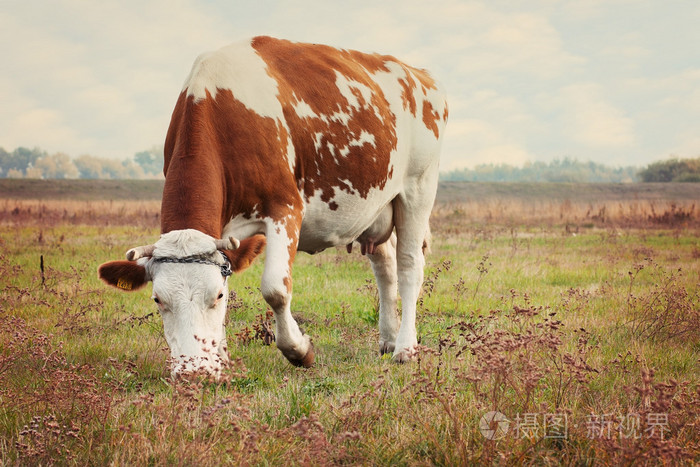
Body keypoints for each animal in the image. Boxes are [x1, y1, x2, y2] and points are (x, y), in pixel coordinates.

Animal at [97, 36, 448, 378]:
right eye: (158, 299)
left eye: (217, 296)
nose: (192, 372)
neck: (218, 107)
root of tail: (419, 75)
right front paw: (220, 358)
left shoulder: (285, 208)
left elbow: (275, 289)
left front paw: (299, 350)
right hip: (375, 206)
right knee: (385, 266)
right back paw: (388, 339)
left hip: (417, 189)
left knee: (409, 266)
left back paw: (405, 348)